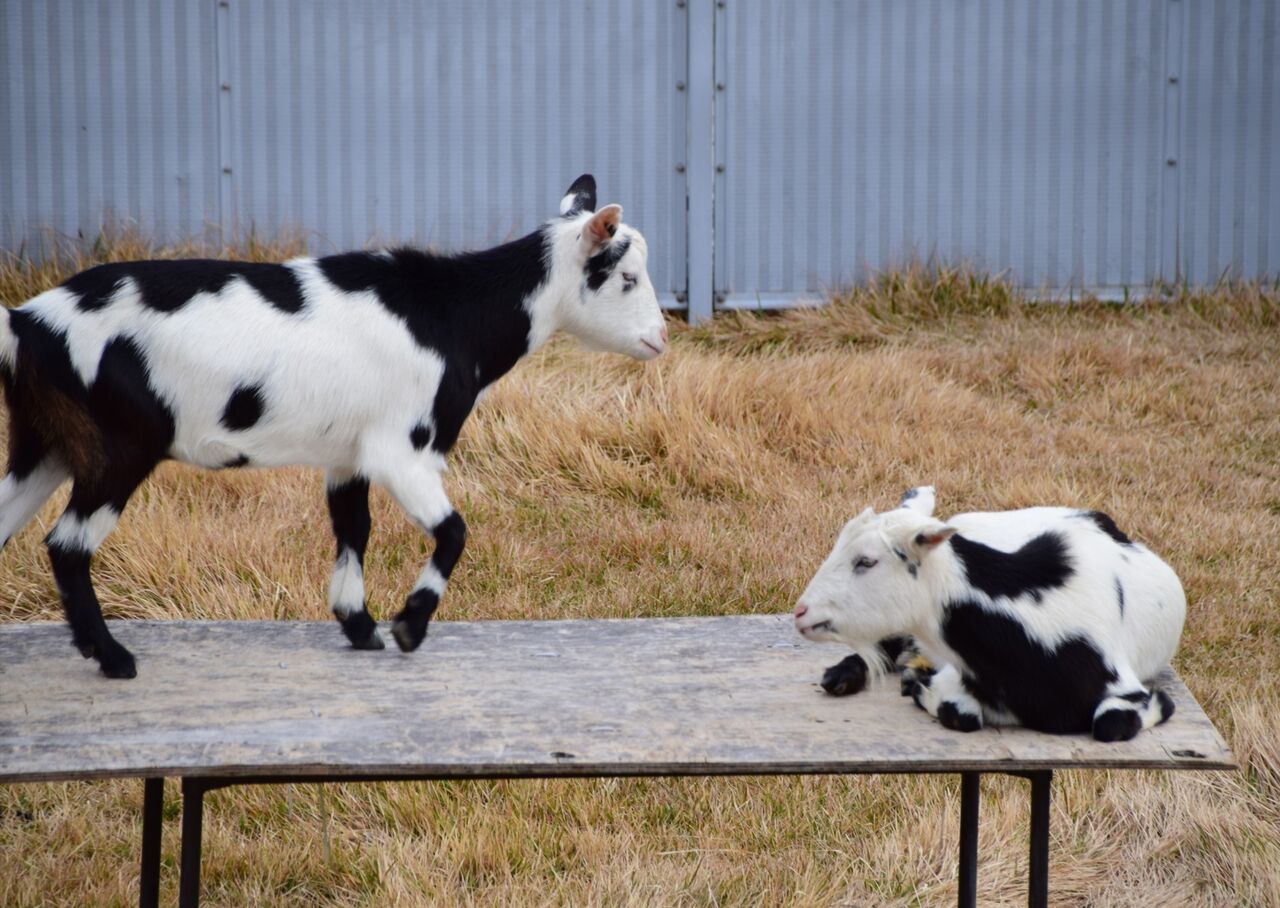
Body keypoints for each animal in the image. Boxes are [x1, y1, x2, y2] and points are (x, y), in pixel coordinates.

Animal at [0, 175, 667, 678]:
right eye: (626, 278)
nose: (661, 337)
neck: (452, 313)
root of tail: (29, 324)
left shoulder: (349, 453)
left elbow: (354, 528)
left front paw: (359, 626)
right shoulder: (404, 448)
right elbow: (453, 532)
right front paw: (407, 627)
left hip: (45, 444)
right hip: (119, 446)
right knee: (68, 545)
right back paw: (113, 658)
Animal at [793, 487, 1186, 742]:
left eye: (866, 561)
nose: (801, 611)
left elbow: (1112, 724)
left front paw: (919, 682)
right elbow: (958, 711)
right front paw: (921, 684)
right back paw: (842, 676)